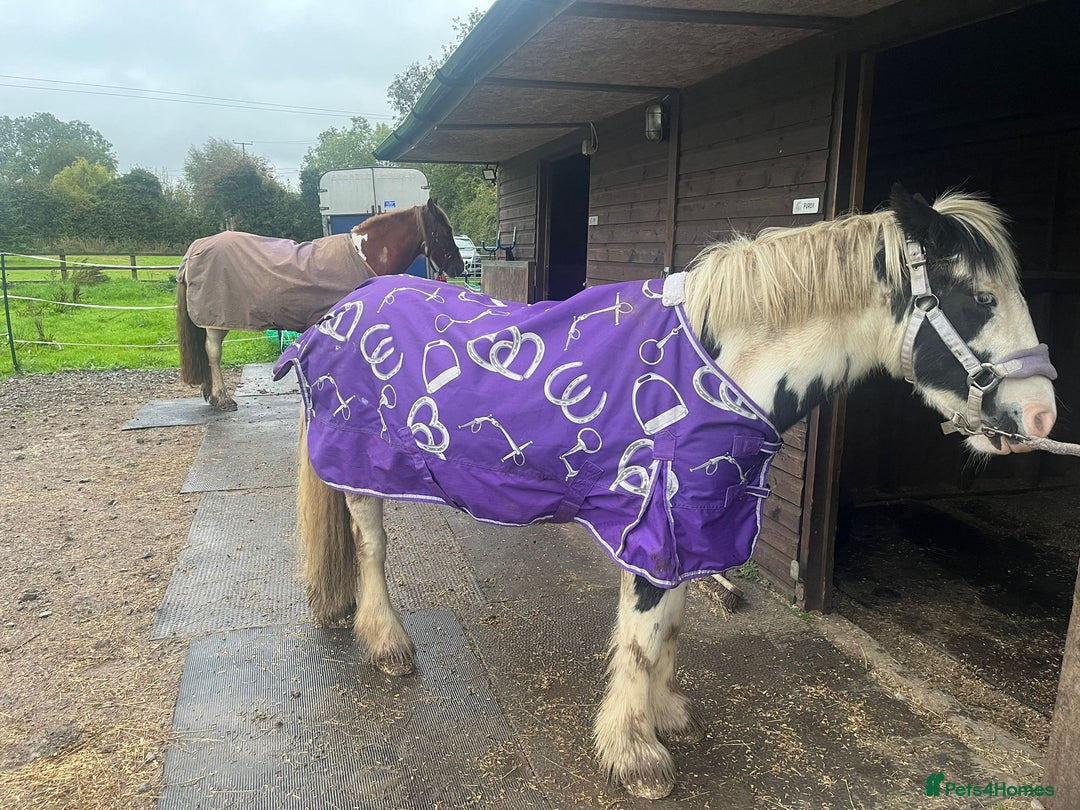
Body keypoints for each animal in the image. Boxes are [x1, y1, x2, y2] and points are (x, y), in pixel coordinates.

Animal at [176, 198, 463, 411]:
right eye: (446, 231)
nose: (460, 267)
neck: (365, 255)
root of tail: (195, 249)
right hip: (215, 321)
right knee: (213, 352)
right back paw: (223, 398)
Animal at [273, 185, 1058, 799]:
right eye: (980, 298)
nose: (1042, 419)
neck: (716, 364)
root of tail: (336, 313)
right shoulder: (655, 525)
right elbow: (645, 636)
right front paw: (635, 754)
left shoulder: (693, 526)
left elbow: (671, 627)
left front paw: (664, 716)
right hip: (363, 470)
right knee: (372, 551)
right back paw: (387, 644)